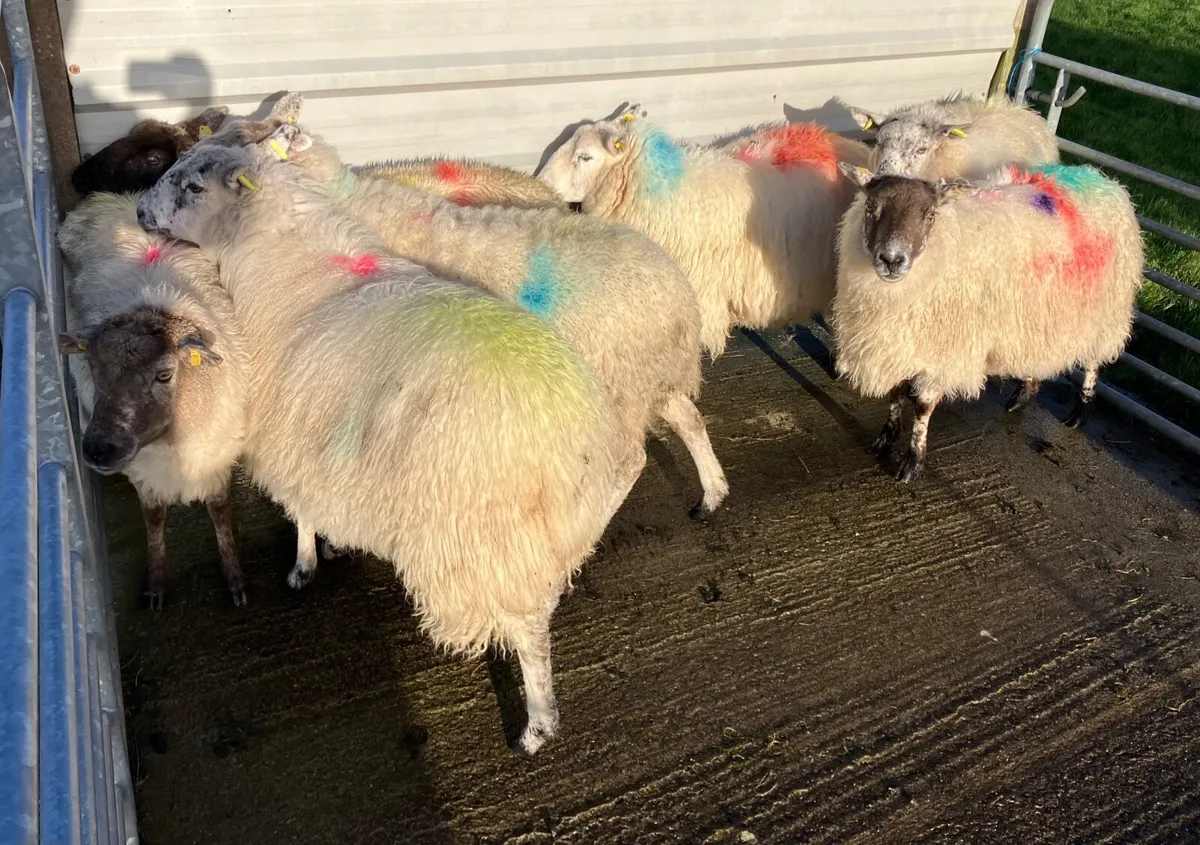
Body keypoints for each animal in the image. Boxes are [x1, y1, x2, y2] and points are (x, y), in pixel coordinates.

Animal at [58, 192, 249, 607]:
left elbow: (220, 512)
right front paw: (157, 583)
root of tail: (115, 199)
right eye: (93, 368)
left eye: (164, 374)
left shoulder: (216, 456)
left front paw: (235, 578)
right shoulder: (144, 471)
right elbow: (154, 518)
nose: (98, 450)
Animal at [137, 123, 638, 753]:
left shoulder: (291, 433)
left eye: (194, 186)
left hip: (483, 540)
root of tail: (572, 436)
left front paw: (304, 565)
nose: (138, 211)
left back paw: (537, 725)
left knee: (528, 634)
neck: (284, 259)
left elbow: (301, 511)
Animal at [244, 114, 725, 592]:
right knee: (689, 419)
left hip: (619, 389)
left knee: (629, 462)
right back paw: (712, 494)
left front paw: (306, 558)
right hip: (646, 378)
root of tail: (678, 293)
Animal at [833, 162, 1143, 483]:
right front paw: (884, 441)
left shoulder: (944, 352)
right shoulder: (895, 347)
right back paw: (1023, 395)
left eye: (930, 215)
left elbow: (922, 406)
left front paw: (912, 463)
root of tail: (1101, 179)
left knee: (1094, 360)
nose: (892, 260)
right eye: (871, 207)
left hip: (1106, 309)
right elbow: (896, 395)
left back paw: (1080, 412)